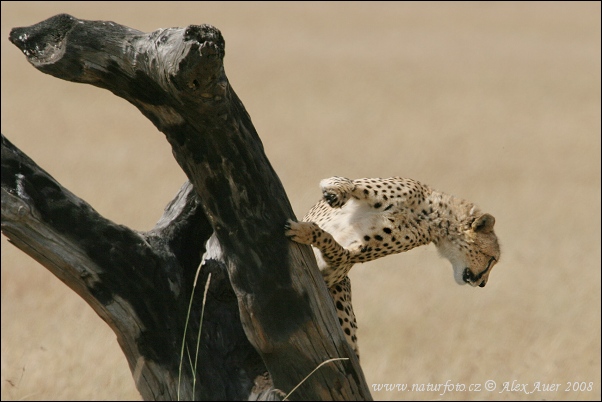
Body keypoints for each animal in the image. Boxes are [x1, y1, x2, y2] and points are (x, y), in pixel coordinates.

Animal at [284, 177, 500, 358]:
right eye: (492, 259)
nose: (483, 283)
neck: (435, 218)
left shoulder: (348, 255)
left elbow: (330, 242)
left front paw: (305, 231)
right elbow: (344, 180)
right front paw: (336, 192)